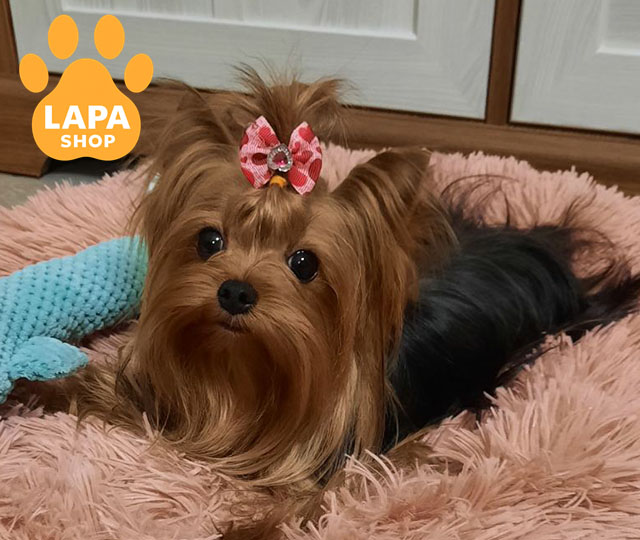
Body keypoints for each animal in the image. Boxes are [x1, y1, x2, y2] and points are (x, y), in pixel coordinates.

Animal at [71, 68, 640, 536]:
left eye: (304, 263)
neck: (242, 373)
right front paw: (61, 388)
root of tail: (540, 248)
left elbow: (328, 496)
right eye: (210, 240)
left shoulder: (374, 456)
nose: (234, 291)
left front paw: (250, 529)